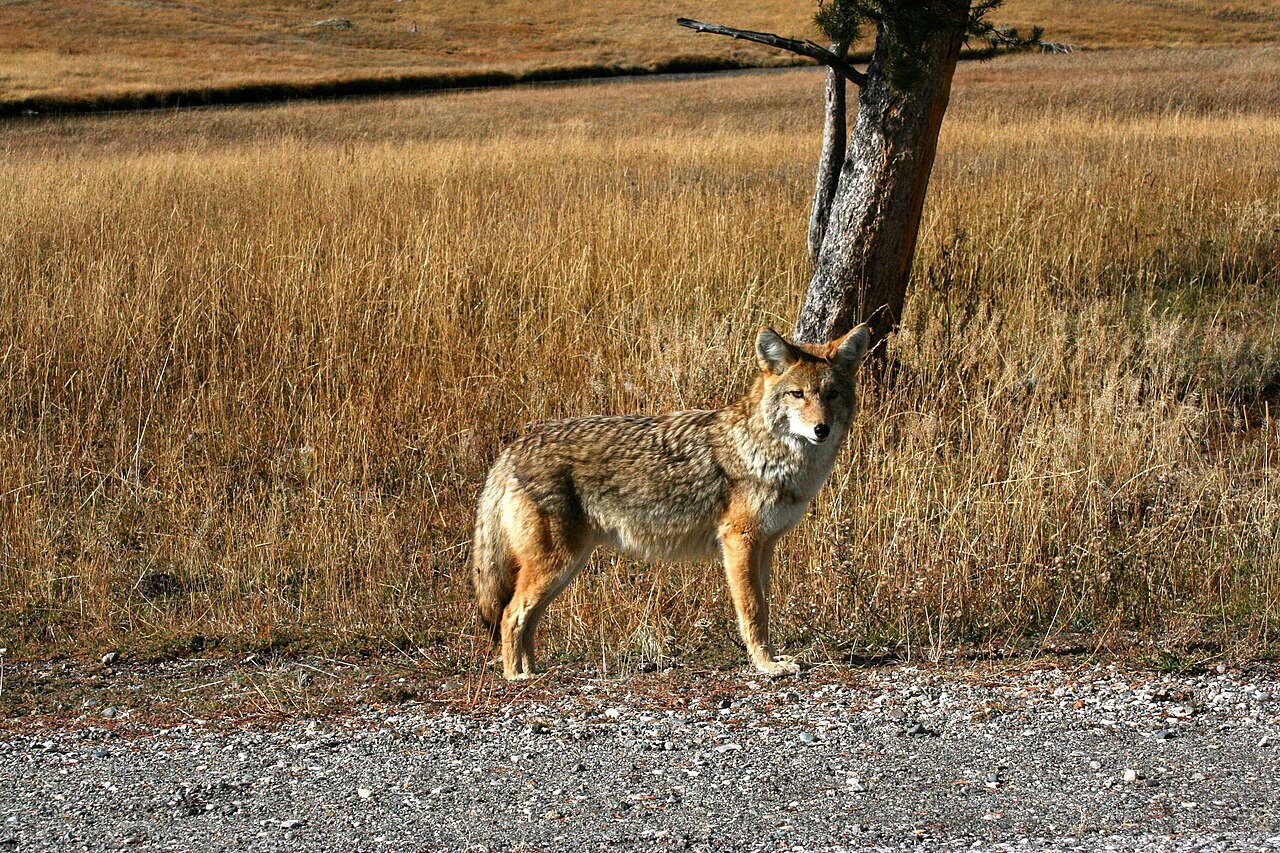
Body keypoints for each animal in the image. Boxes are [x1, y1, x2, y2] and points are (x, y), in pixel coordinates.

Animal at [471, 324, 870, 679]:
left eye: (832, 395)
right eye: (797, 394)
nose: (822, 429)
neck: (766, 451)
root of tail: (512, 447)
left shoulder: (765, 545)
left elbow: (765, 608)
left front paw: (772, 659)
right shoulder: (739, 541)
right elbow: (753, 611)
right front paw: (767, 666)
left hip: (565, 567)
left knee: (524, 619)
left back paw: (531, 671)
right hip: (557, 564)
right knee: (510, 615)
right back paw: (515, 677)